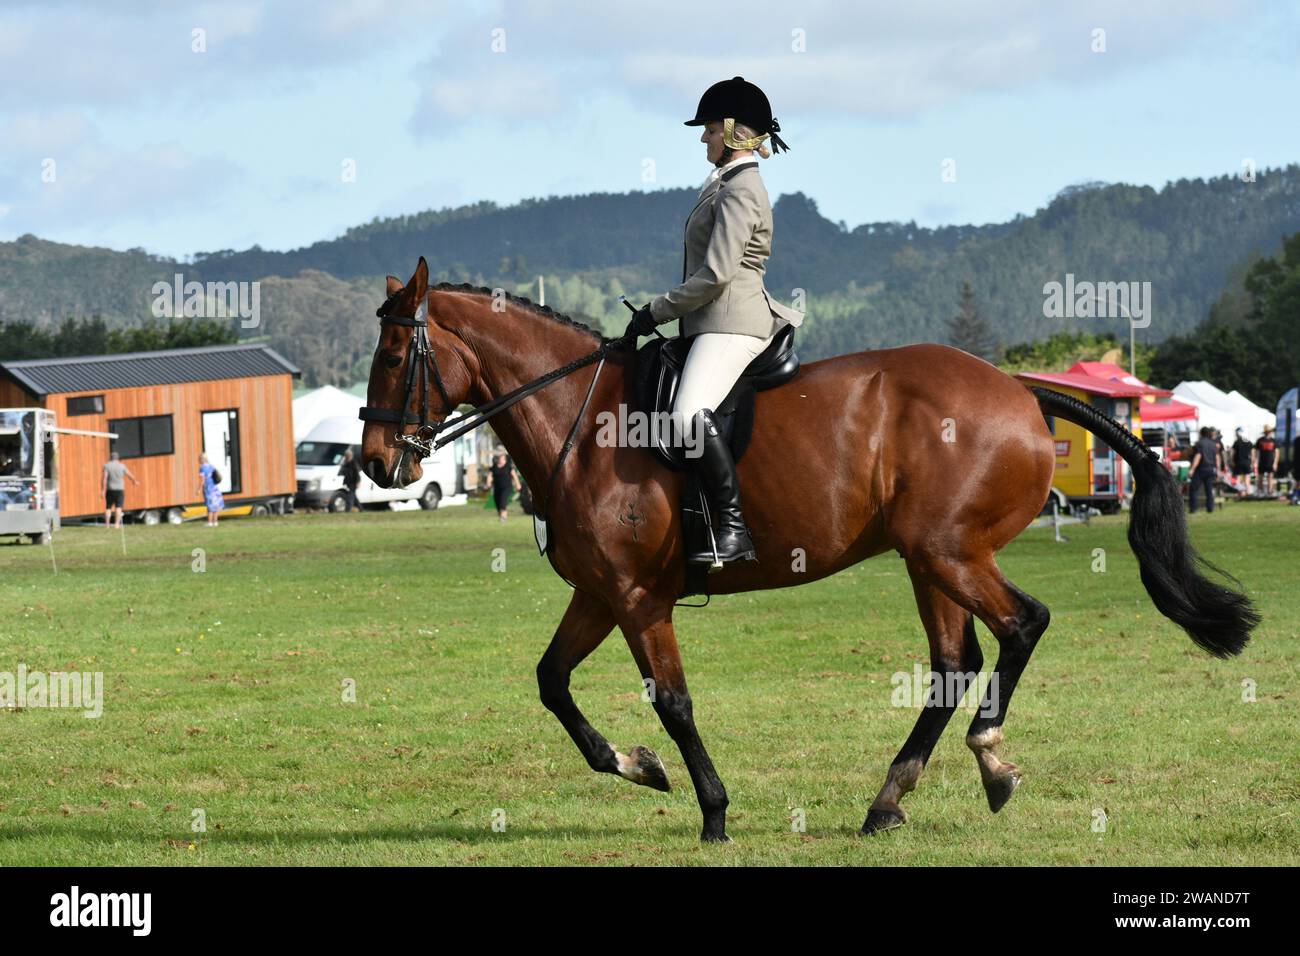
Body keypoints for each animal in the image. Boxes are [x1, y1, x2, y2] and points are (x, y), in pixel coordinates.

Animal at [361, 257, 1253, 842]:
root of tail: (1018, 389)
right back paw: (891, 799)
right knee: (954, 662)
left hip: (949, 552)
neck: (584, 423)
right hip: (929, 561)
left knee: (1022, 625)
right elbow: (552, 682)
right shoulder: (600, 592)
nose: (372, 465)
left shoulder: (638, 598)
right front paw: (639, 766)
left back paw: (989, 760)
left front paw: (713, 811)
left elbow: (673, 702)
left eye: (396, 355)